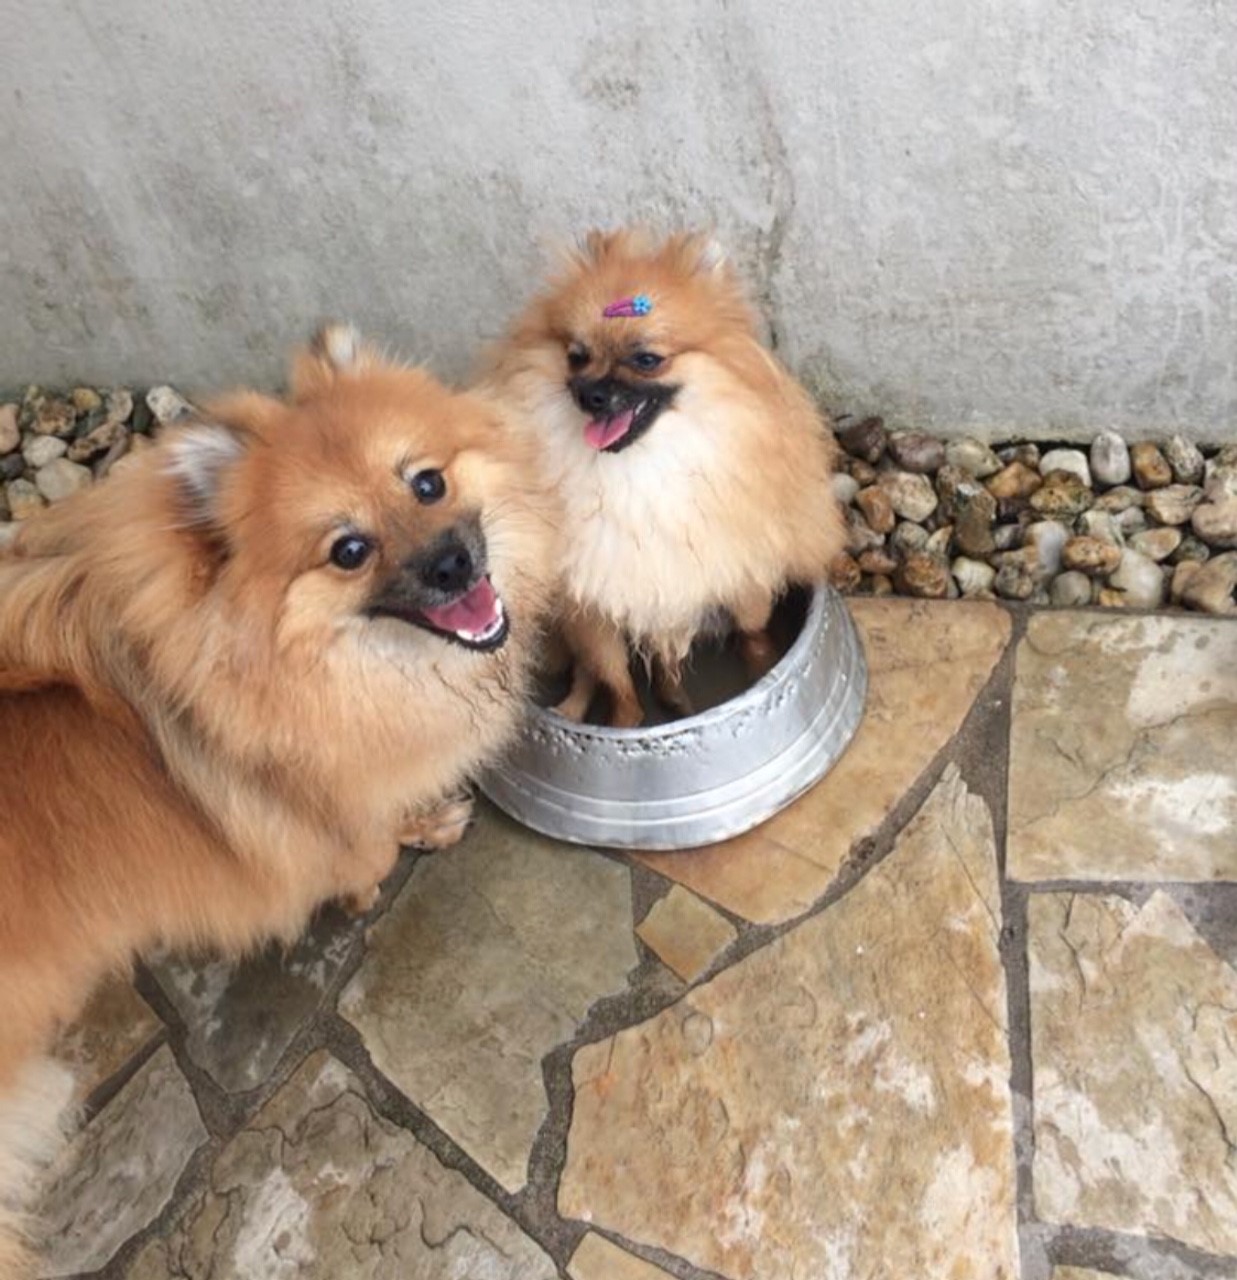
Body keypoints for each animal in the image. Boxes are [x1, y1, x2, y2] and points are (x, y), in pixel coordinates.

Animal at [0, 326, 557, 1276]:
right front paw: (378, 867)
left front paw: (422, 816)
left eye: (426, 482)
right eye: (348, 550)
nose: (454, 562)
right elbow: (356, 846)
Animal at [483, 228, 844, 726]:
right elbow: (617, 682)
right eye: (577, 357)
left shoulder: (739, 580)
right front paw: (623, 722)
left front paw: (762, 677)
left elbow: (754, 637)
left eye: (647, 359)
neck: (639, 467)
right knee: (588, 673)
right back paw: (576, 708)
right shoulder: (591, 607)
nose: (591, 394)